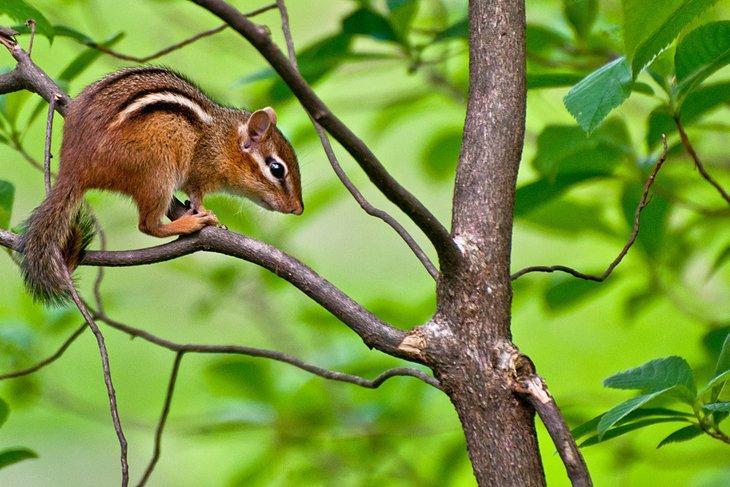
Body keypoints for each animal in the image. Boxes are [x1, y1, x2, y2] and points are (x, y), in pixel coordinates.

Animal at [19, 66, 303, 305]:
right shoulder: (199, 171)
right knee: (147, 225)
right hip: (157, 173)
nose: (298, 209)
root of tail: (74, 169)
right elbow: (196, 193)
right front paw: (204, 211)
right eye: (277, 169)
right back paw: (190, 223)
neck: (223, 141)